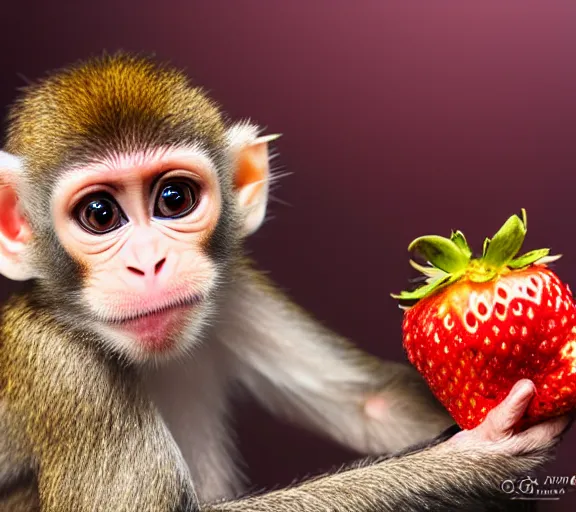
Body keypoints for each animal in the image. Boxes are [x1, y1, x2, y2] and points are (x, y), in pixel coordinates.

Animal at [0, 54, 568, 510]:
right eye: (100, 214)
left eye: (174, 199)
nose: (149, 264)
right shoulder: (59, 363)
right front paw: (478, 454)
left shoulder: (233, 287)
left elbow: (368, 405)